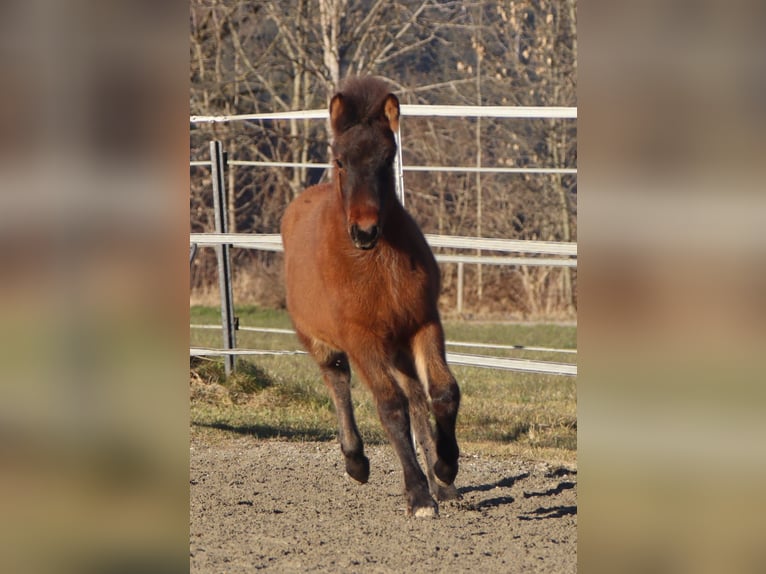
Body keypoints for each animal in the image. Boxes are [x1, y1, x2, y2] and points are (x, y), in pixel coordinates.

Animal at [280, 76, 460, 517]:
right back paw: (356, 462)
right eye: (340, 160)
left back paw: (441, 481)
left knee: (417, 394)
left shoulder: (423, 323)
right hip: (322, 341)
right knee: (338, 381)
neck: (377, 267)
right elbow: (389, 407)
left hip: (397, 345)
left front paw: (445, 469)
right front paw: (418, 495)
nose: (364, 231)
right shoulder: (361, 339)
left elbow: (442, 392)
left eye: (387, 159)